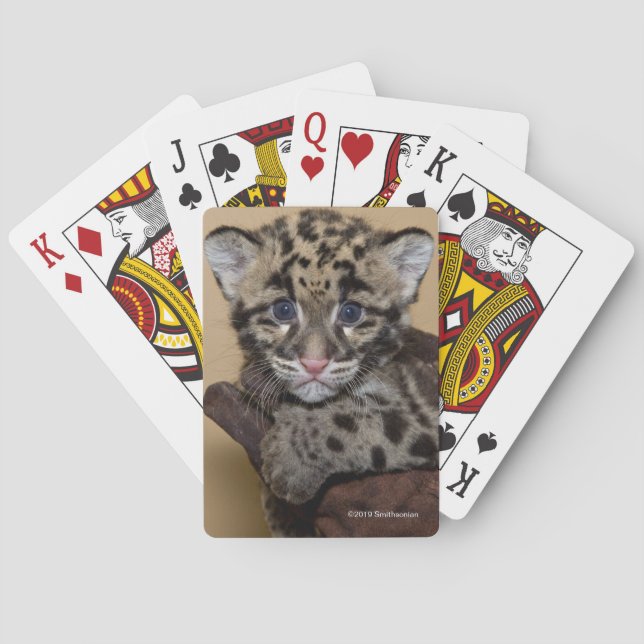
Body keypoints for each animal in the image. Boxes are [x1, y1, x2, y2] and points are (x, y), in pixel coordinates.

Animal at [204, 208, 439, 530]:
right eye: (283, 310)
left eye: (351, 313)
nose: (314, 362)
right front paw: (280, 515)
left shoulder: (423, 400)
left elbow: (363, 420)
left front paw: (290, 459)